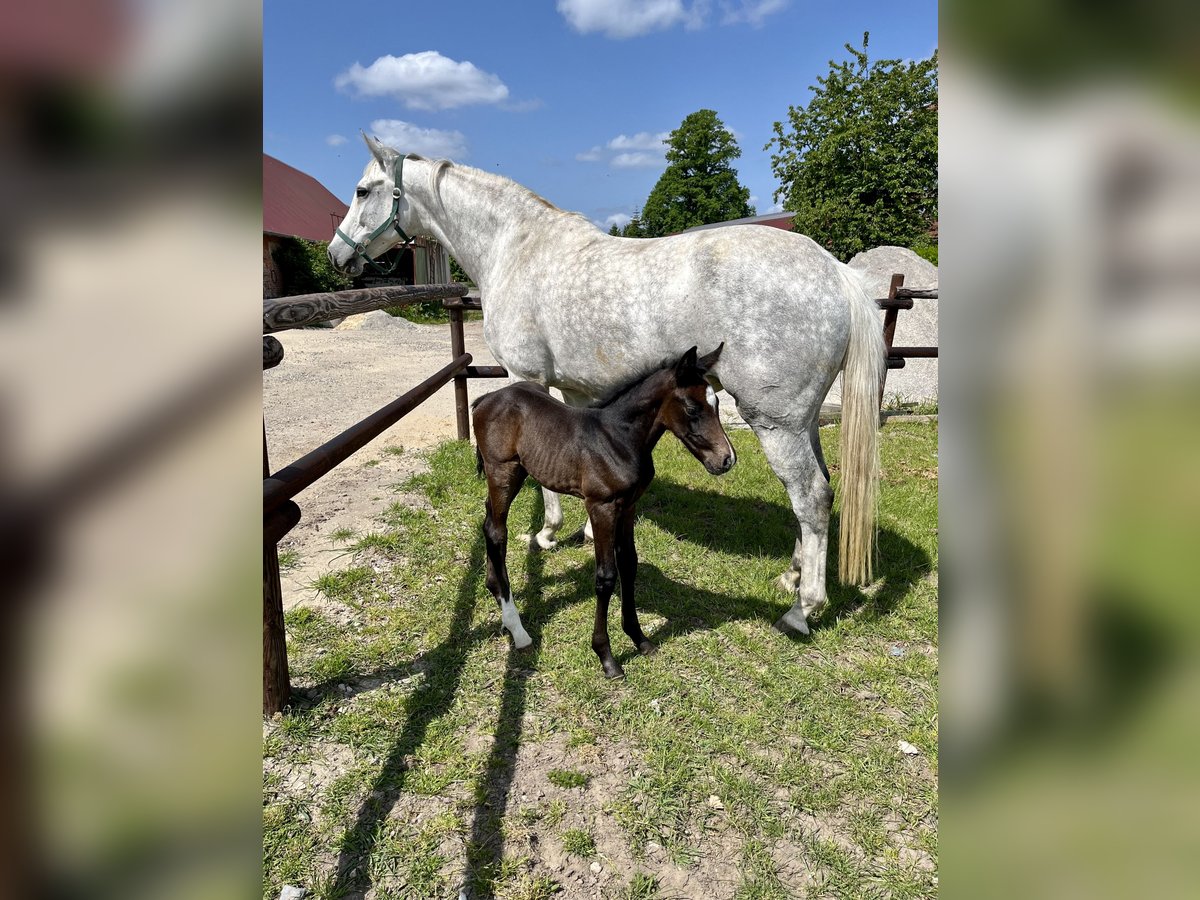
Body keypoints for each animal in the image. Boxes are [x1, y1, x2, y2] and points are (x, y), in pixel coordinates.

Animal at [333, 137, 888, 638]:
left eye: (362, 191)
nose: (337, 254)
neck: (515, 248)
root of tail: (835, 273)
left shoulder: (526, 379)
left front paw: (547, 533)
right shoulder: (578, 394)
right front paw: (580, 529)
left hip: (776, 422)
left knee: (810, 496)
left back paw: (803, 608)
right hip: (802, 421)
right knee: (819, 490)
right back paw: (791, 575)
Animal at [472, 343, 734, 676]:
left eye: (716, 403)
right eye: (692, 408)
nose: (726, 459)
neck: (619, 439)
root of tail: (485, 399)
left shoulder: (629, 505)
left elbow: (629, 564)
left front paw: (639, 638)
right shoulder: (601, 507)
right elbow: (606, 577)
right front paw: (606, 656)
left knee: (487, 522)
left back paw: (495, 591)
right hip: (503, 472)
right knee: (497, 531)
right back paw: (517, 629)